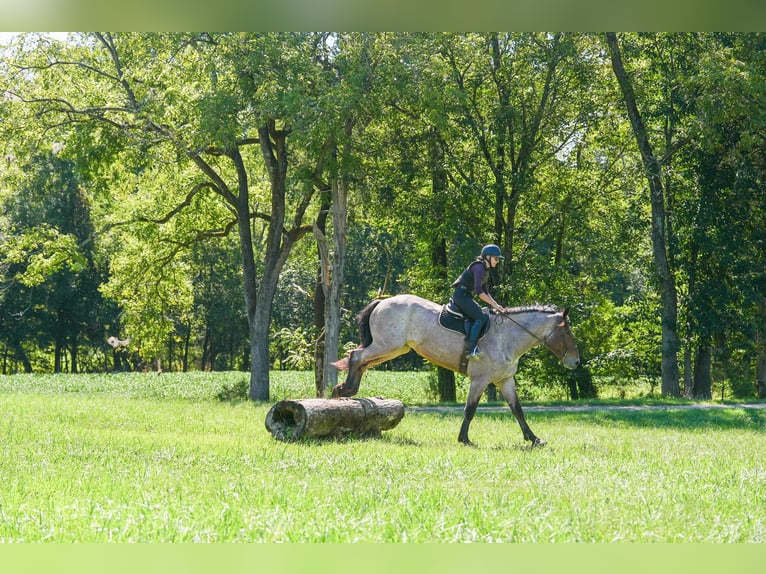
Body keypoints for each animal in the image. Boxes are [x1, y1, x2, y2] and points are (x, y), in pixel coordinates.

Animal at [331, 294, 580, 446]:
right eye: (567, 333)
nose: (576, 362)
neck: (508, 337)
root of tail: (383, 302)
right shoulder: (480, 379)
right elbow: (470, 410)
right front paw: (464, 439)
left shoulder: (505, 380)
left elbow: (517, 410)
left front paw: (534, 438)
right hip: (387, 345)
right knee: (356, 356)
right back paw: (343, 390)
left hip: (395, 348)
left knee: (361, 361)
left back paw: (346, 390)